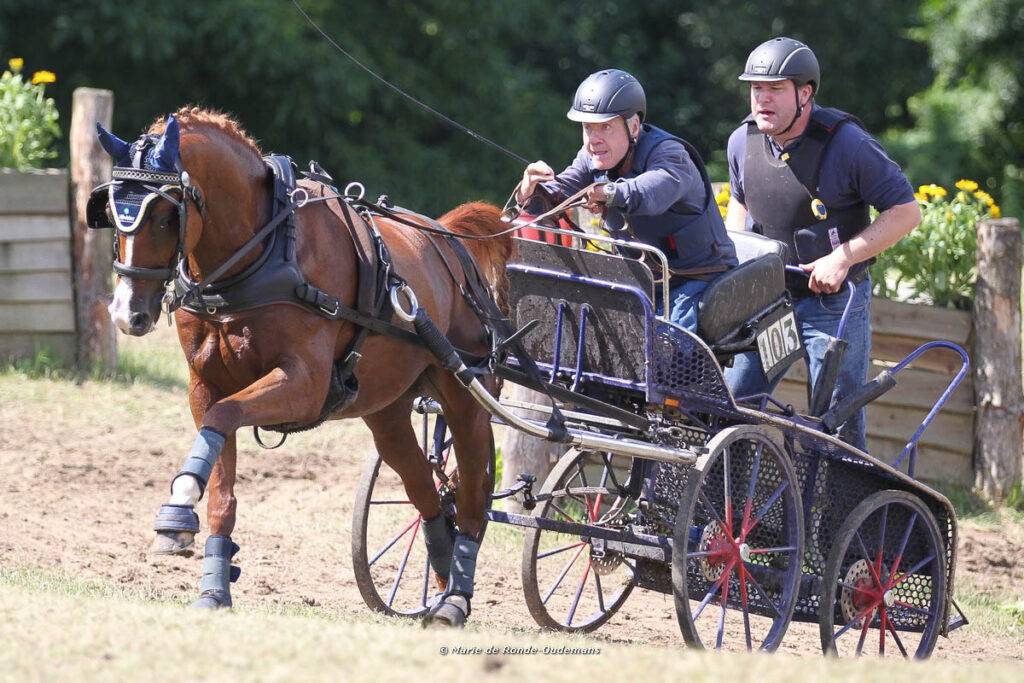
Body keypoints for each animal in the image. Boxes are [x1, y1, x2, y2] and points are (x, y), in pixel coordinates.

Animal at [92, 107, 512, 626]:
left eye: (167, 214)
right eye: (111, 211)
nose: (128, 313)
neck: (264, 251)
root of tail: (449, 243)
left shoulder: (305, 384)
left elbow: (225, 417)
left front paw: (180, 500)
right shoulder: (204, 386)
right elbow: (220, 471)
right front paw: (212, 582)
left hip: (466, 400)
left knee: (472, 490)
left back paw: (456, 595)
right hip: (388, 411)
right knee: (425, 487)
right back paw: (440, 569)